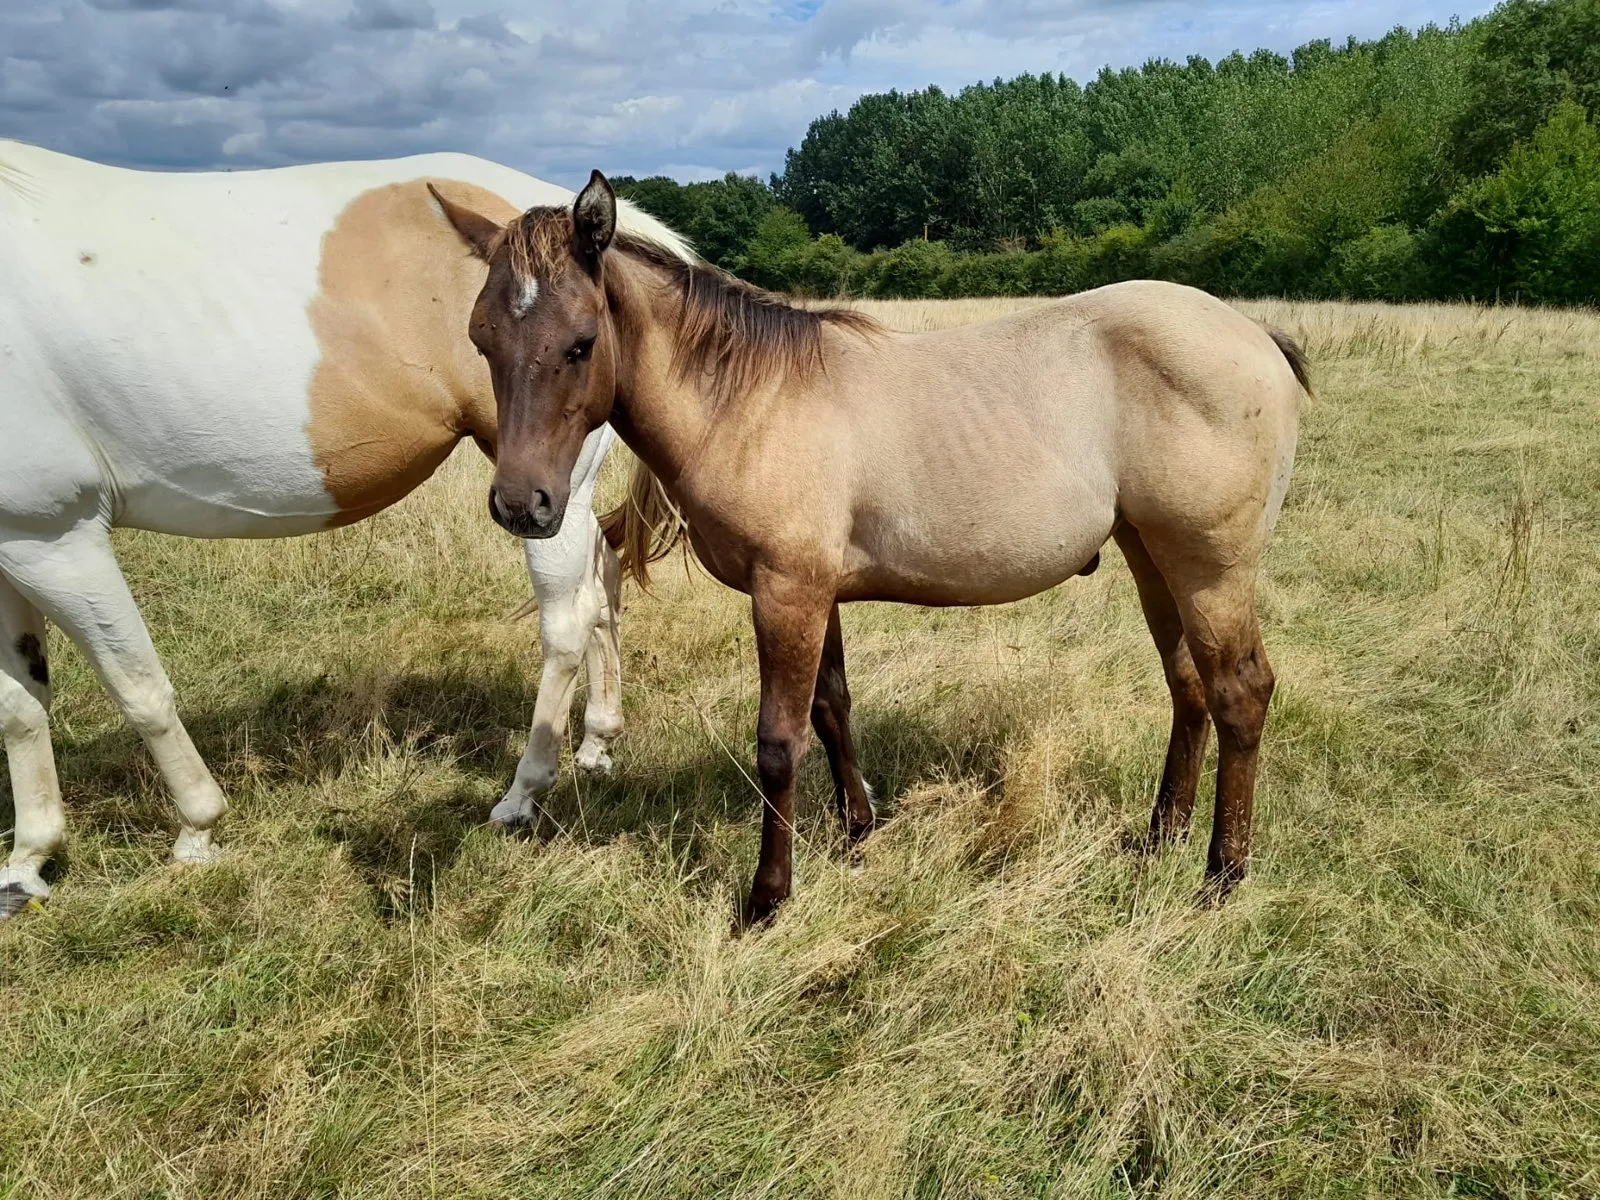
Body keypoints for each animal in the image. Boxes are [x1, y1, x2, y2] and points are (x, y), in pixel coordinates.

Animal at [0, 142, 692, 919]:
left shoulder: (54, 535)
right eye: (480, 339)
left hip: (552, 497)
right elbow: (20, 706)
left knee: (567, 626)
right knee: (603, 589)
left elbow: (138, 688)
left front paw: (197, 830)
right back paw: (597, 743)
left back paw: (524, 794)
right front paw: (26, 862)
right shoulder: (13, 544)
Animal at [435, 172, 1307, 926]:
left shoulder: (786, 592)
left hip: (1209, 569)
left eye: (581, 343)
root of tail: (1255, 335)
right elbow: (831, 710)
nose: (521, 505)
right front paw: (858, 832)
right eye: (480, 338)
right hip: (1152, 555)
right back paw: (1160, 837)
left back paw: (1221, 875)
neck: (754, 399)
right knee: (1189, 686)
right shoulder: (815, 591)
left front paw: (767, 898)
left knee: (1239, 692)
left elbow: (779, 742)